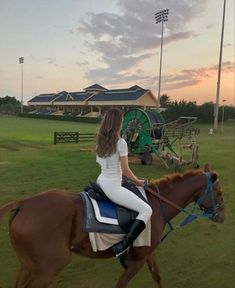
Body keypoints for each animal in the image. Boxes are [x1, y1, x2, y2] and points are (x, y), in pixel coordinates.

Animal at [0, 166, 224, 288]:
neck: (157, 205)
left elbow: (157, 276)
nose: (223, 216)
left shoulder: (148, 252)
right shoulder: (137, 260)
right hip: (48, 268)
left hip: (29, 265)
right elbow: (121, 284)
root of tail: (24, 203)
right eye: (220, 193)